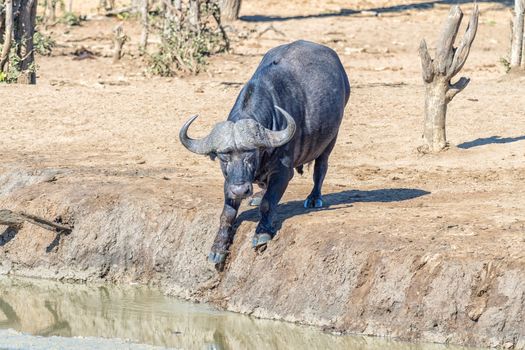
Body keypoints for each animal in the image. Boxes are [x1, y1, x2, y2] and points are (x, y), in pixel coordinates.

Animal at [179, 39, 348, 264]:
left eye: (251, 155)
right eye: (224, 158)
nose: (241, 191)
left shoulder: (284, 172)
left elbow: (268, 204)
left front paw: (262, 233)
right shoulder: (230, 180)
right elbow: (227, 213)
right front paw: (218, 247)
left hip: (331, 139)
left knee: (321, 168)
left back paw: (313, 198)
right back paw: (257, 194)